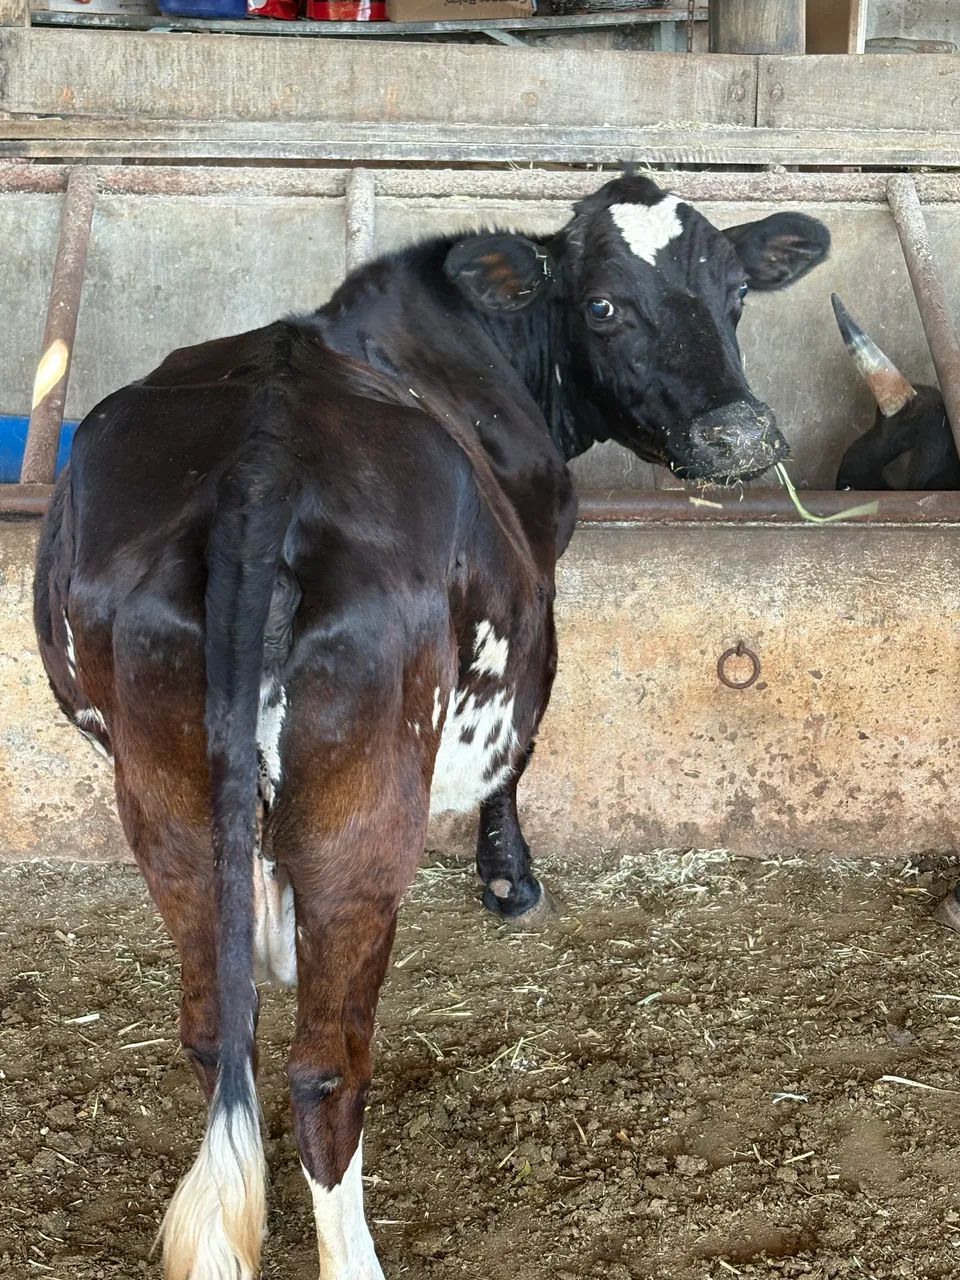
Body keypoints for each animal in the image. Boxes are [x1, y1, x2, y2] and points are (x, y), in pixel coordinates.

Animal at [33, 175, 829, 1280]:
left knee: (215, 1031)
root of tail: (257, 467)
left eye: (737, 295)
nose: (744, 435)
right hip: (368, 802)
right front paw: (510, 879)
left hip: (163, 796)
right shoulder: (538, 605)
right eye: (603, 305)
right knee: (327, 1066)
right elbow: (514, 760)